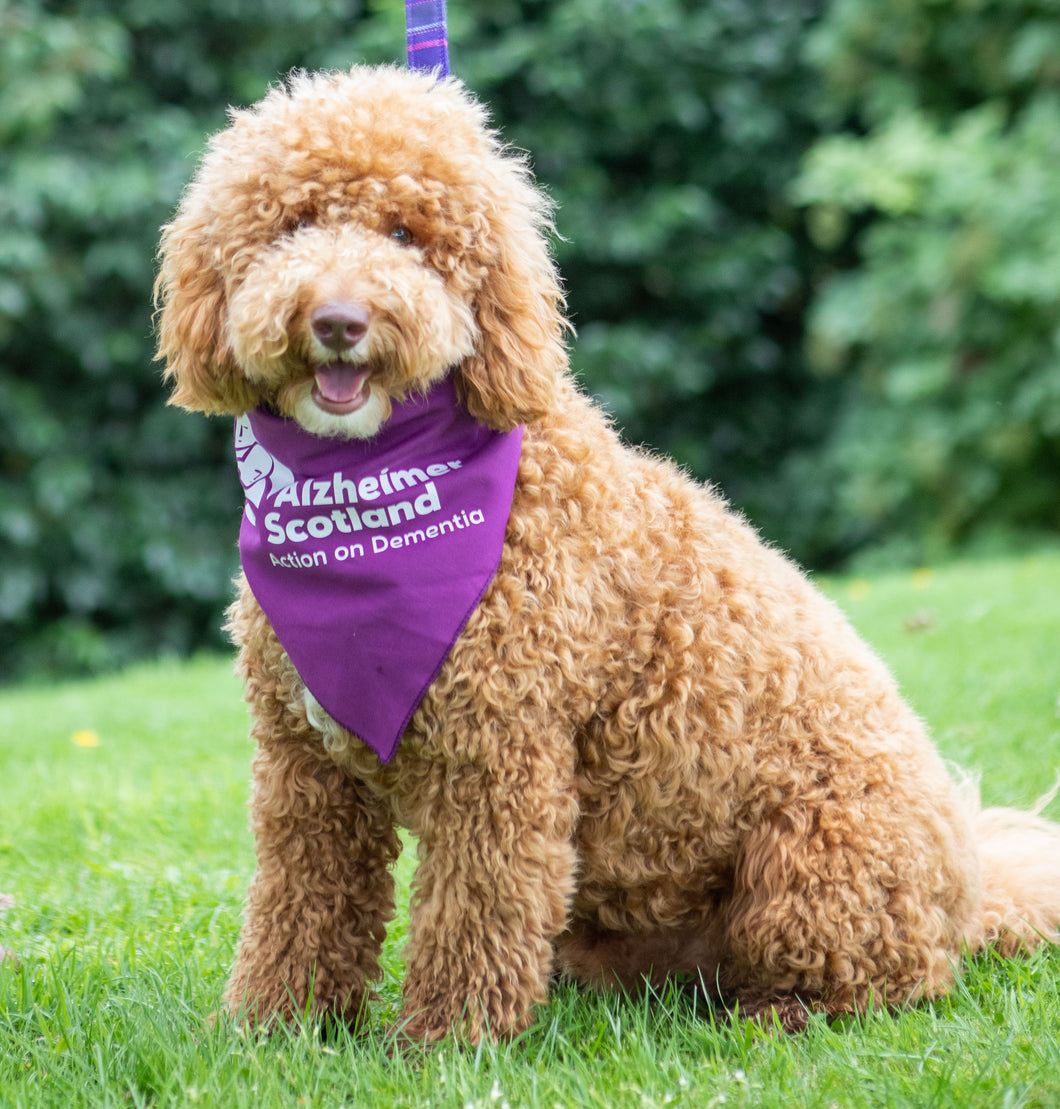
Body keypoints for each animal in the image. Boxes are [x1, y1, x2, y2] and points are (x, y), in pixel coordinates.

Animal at [148, 67, 1060, 1038]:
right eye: (292, 225)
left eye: (407, 233)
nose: (339, 320)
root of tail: (968, 894)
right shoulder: (305, 769)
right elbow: (300, 905)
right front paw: (273, 1030)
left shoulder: (499, 758)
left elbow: (474, 912)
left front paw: (445, 1039)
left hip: (811, 864)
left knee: (880, 981)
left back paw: (778, 1013)